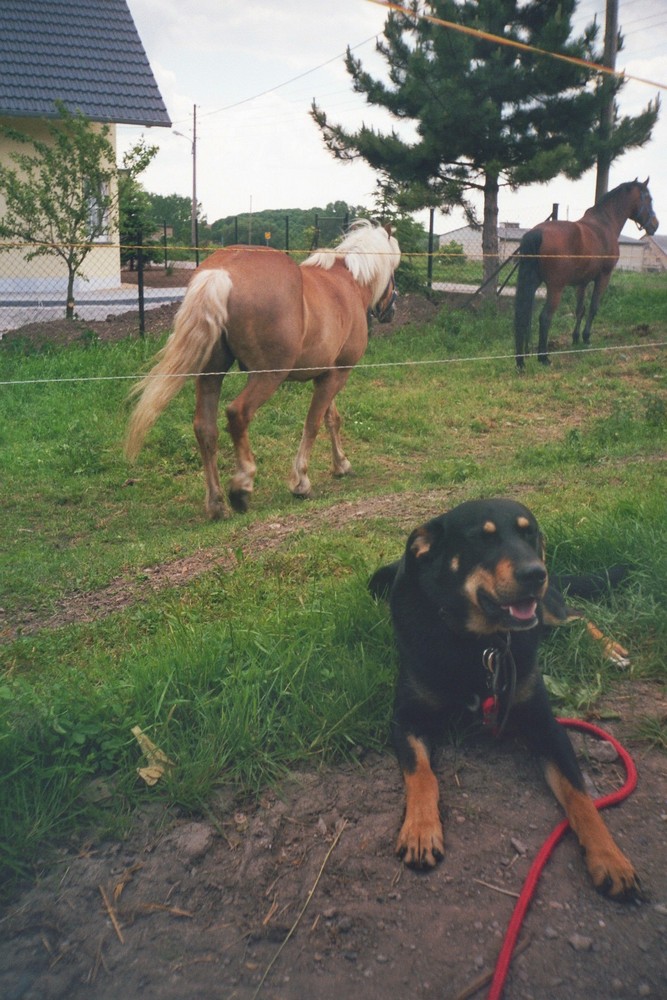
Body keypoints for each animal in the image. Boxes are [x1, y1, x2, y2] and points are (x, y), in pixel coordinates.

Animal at [124, 223, 402, 520]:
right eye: (394, 272)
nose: (391, 310)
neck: (348, 282)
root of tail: (222, 271)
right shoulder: (339, 373)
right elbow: (313, 423)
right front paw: (301, 482)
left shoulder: (327, 375)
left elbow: (332, 419)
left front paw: (341, 464)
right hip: (268, 376)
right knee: (238, 414)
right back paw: (242, 485)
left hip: (211, 373)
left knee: (205, 428)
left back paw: (216, 503)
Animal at [370, 500, 640, 900]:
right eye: (482, 539)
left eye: (530, 534)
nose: (535, 573)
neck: (481, 644)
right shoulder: (407, 719)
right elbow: (421, 775)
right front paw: (420, 831)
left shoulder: (546, 726)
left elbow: (581, 798)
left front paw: (610, 858)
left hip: (548, 610)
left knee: (576, 617)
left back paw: (610, 649)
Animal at [516, 178, 656, 370]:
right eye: (648, 199)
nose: (655, 225)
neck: (604, 224)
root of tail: (537, 232)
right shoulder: (603, 277)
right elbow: (593, 307)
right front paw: (586, 337)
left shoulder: (582, 282)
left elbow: (580, 309)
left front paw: (575, 338)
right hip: (555, 288)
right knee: (545, 317)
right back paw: (543, 357)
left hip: (532, 283)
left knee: (523, 317)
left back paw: (521, 361)